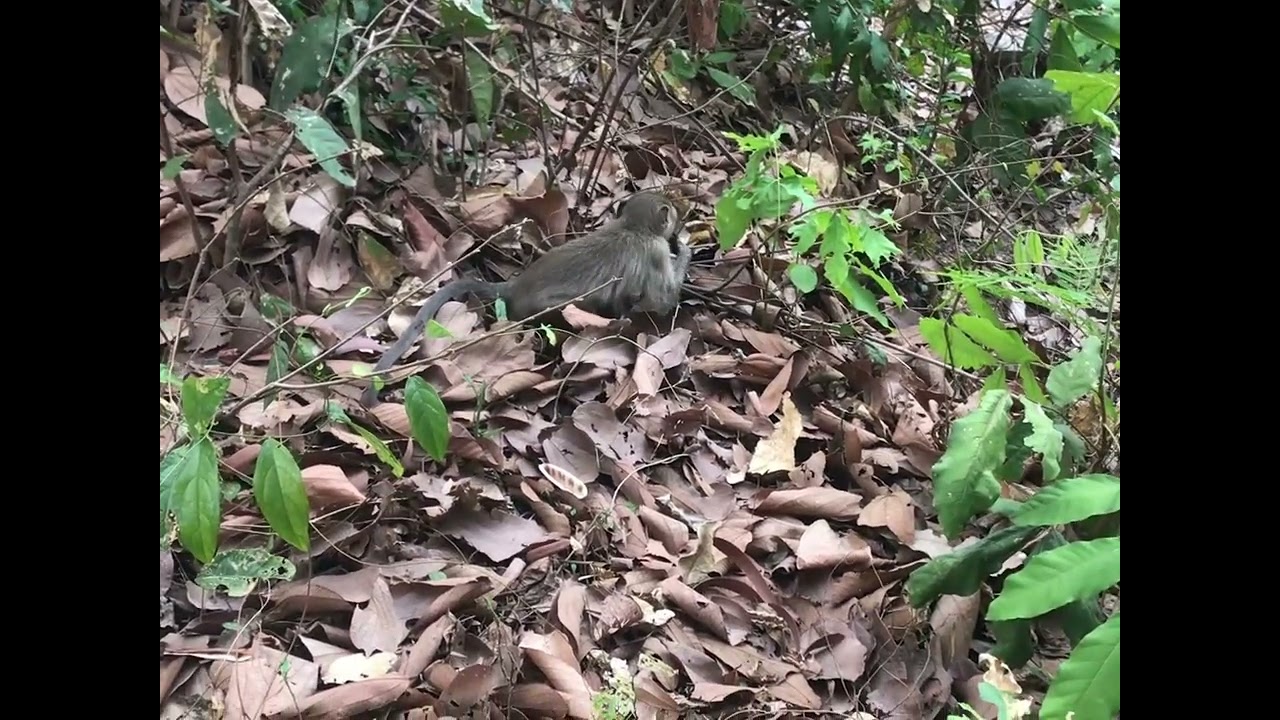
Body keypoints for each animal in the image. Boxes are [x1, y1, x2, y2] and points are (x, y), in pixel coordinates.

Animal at [361, 191, 691, 405]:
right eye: (672, 212)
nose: (680, 220)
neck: (632, 226)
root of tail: (516, 286)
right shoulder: (656, 251)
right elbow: (663, 299)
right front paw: (686, 251)